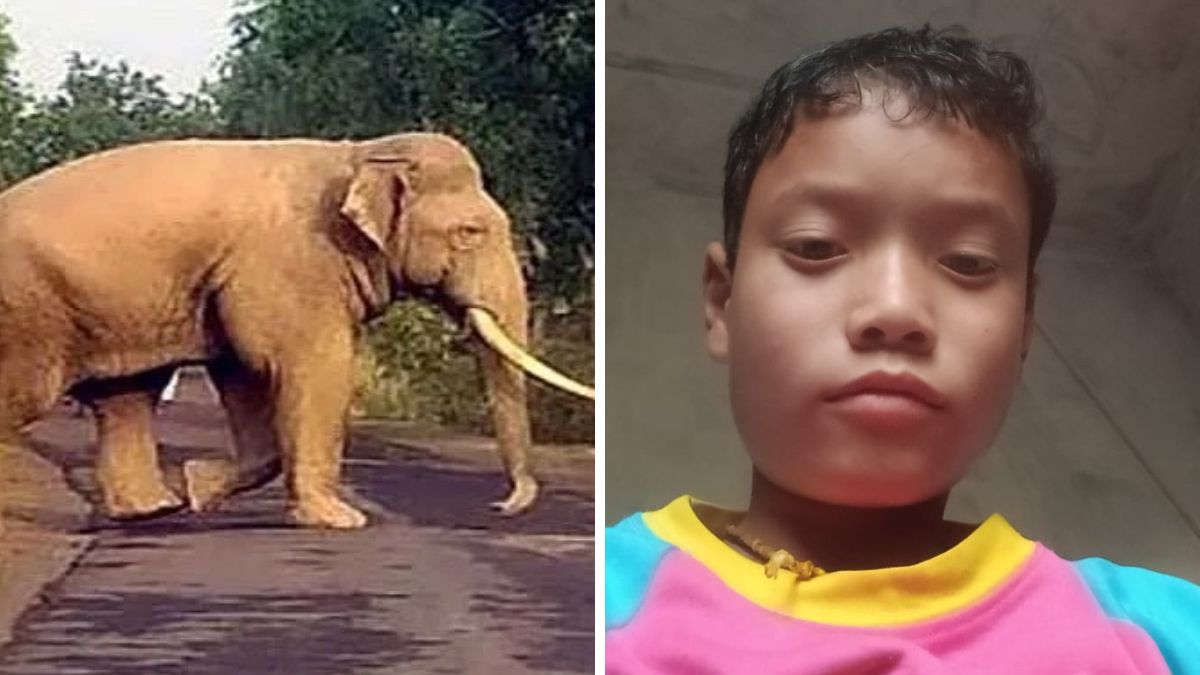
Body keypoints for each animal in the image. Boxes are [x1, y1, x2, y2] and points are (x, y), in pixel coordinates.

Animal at [0, 132, 593, 529]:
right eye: (470, 232)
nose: (500, 505)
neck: (358, 155)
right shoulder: (294, 261)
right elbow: (312, 363)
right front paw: (341, 521)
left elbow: (244, 372)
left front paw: (199, 487)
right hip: (27, 312)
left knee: (125, 397)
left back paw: (153, 511)